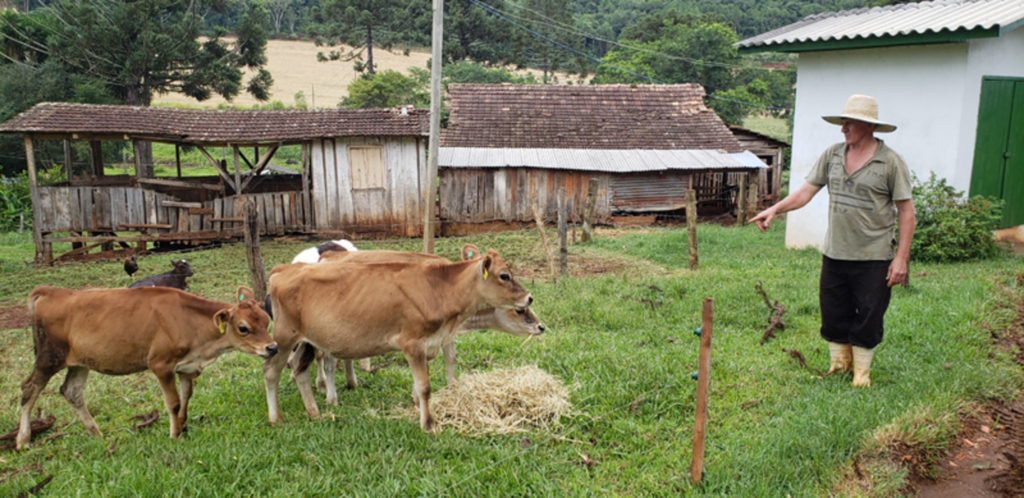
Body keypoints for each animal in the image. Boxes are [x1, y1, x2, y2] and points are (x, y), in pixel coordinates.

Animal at [19, 284, 276, 450]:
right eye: (243, 328)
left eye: (266, 320)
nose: (272, 347)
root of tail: (51, 291)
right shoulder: (161, 365)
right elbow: (173, 403)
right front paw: (175, 436)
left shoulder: (186, 367)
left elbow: (186, 397)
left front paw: (182, 426)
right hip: (49, 357)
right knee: (29, 389)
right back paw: (23, 440)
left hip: (81, 362)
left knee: (71, 391)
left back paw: (96, 434)